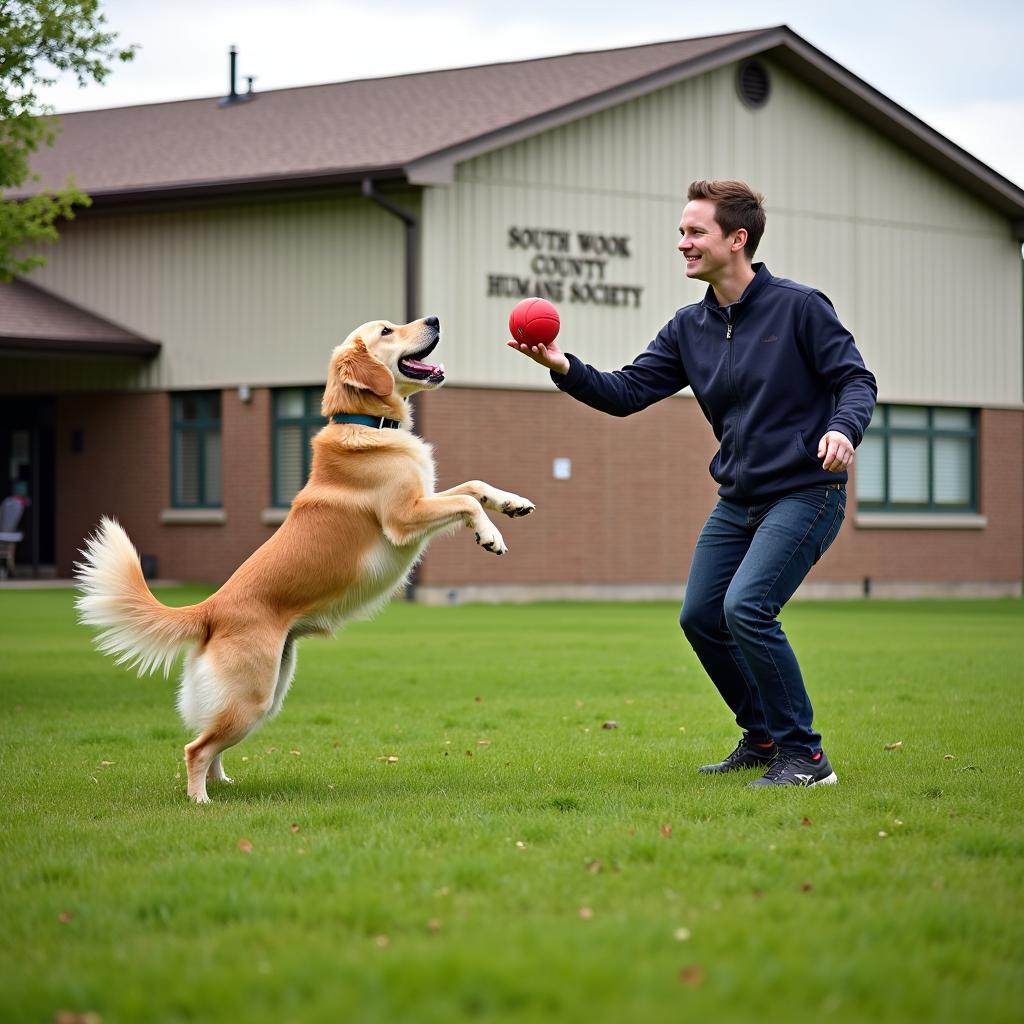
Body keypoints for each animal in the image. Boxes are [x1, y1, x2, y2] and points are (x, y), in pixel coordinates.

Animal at [74, 315, 536, 802]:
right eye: (387, 330)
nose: (434, 319)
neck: (369, 425)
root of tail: (211, 608)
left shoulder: (425, 498)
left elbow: (473, 486)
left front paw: (512, 504)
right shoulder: (404, 517)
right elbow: (465, 502)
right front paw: (490, 534)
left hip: (268, 690)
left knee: (209, 739)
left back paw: (223, 783)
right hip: (253, 695)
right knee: (194, 748)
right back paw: (200, 800)